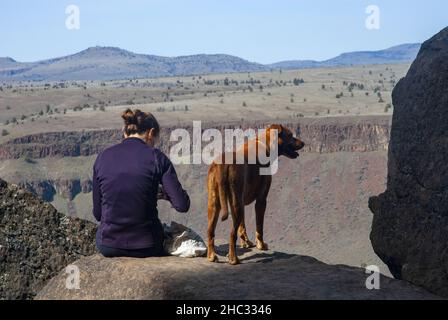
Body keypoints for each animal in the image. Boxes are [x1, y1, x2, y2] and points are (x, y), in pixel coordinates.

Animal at [206, 124, 304, 264]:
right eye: (290, 135)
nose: (303, 143)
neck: (265, 144)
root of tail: (223, 164)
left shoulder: (240, 200)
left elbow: (242, 226)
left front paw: (246, 242)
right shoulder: (261, 199)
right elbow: (259, 227)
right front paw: (261, 245)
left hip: (215, 203)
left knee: (210, 231)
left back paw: (211, 255)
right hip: (236, 204)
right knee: (231, 234)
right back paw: (233, 258)